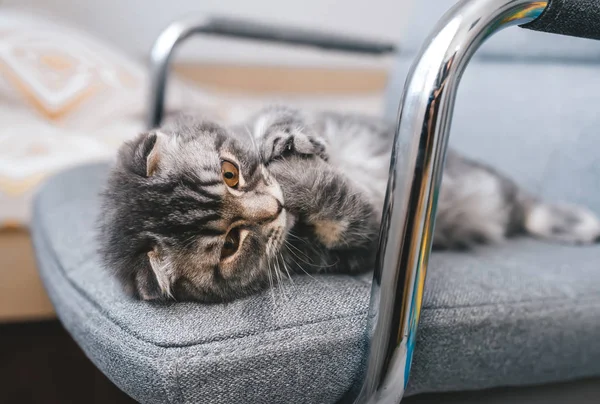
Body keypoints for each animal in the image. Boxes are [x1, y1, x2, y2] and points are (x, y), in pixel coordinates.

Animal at [98, 105, 600, 302]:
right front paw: (300, 181)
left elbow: (281, 122)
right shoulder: (368, 242)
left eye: (230, 173)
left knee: (528, 204)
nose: (276, 207)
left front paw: (285, 150)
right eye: (230, 245)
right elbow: (346, 210)